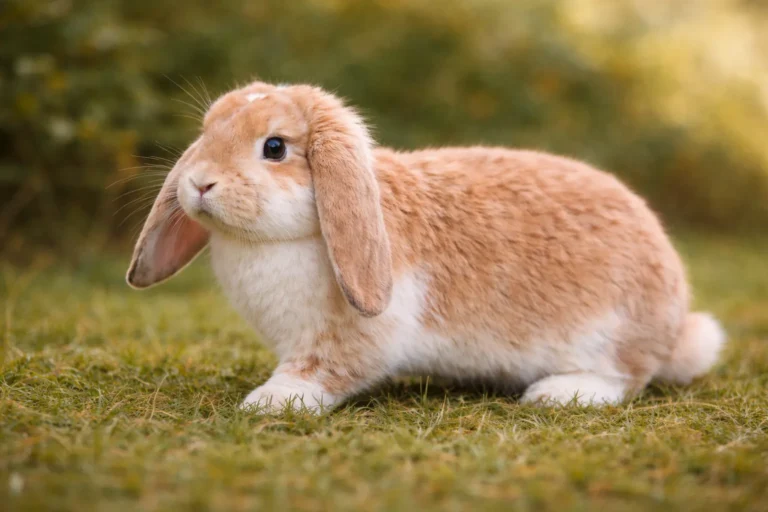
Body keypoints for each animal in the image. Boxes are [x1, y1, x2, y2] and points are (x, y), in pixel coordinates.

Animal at [127, 81, 726, 412]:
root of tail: (674, 324)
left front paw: (270, 402)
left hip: (610, 333)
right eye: (206, 132)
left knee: (626, 378)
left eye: (274, 147)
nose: (199, 182)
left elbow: (324, 370)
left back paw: (557, 393)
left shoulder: (351, 337)